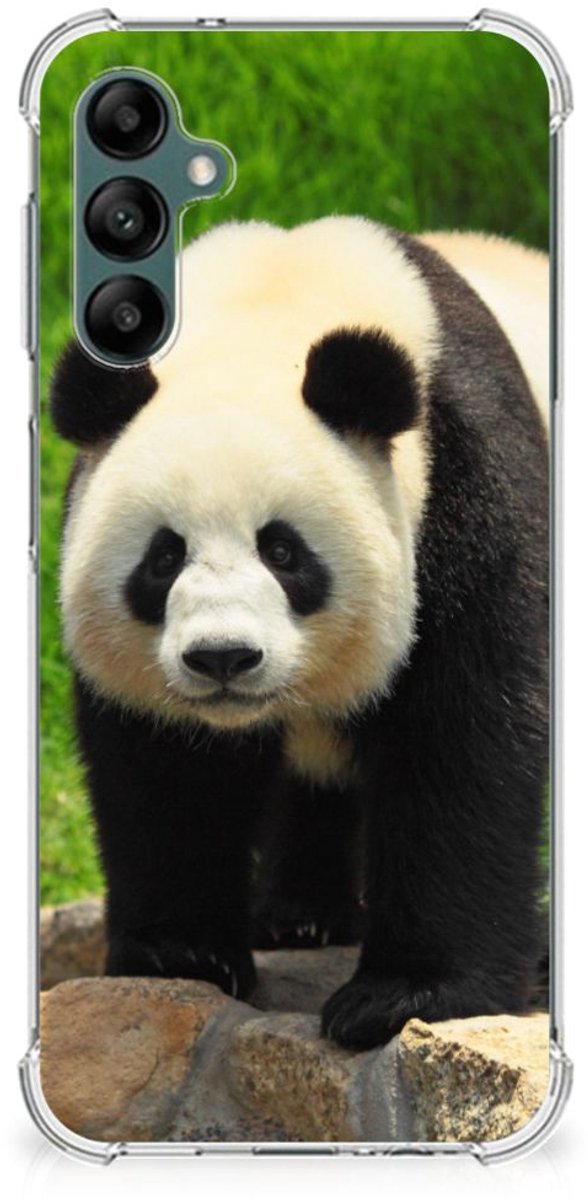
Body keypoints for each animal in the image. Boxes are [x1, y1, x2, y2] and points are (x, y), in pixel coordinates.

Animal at [50, 217, 549, 1050]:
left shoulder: (469, 484)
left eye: (283, 552)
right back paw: (300, 916)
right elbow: (166, 768)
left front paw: (403, 995)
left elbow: (465, 738)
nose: (223, 657)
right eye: (163, 557)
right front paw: (181, 953)